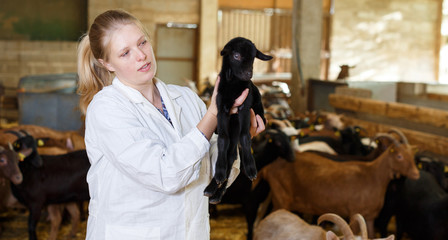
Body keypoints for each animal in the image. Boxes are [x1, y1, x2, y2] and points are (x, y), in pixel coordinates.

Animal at [256, 135, 420, 238]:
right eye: (399, 156)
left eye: (412, 156)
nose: (416, 174)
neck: (373, 175)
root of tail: (270, 166)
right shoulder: (356, 211)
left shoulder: (370, 217)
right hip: (281, 199)